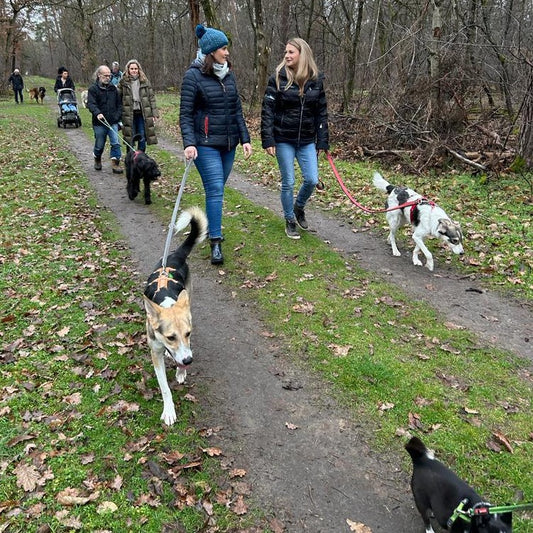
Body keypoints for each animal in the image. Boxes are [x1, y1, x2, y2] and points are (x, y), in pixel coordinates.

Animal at [143, 206, 208, 426]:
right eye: (170, 337)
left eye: (188, 333)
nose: (189, 361)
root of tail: (176, 255)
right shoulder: (155, 352)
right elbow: (164, 388)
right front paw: (169, 411)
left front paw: (181, 371)